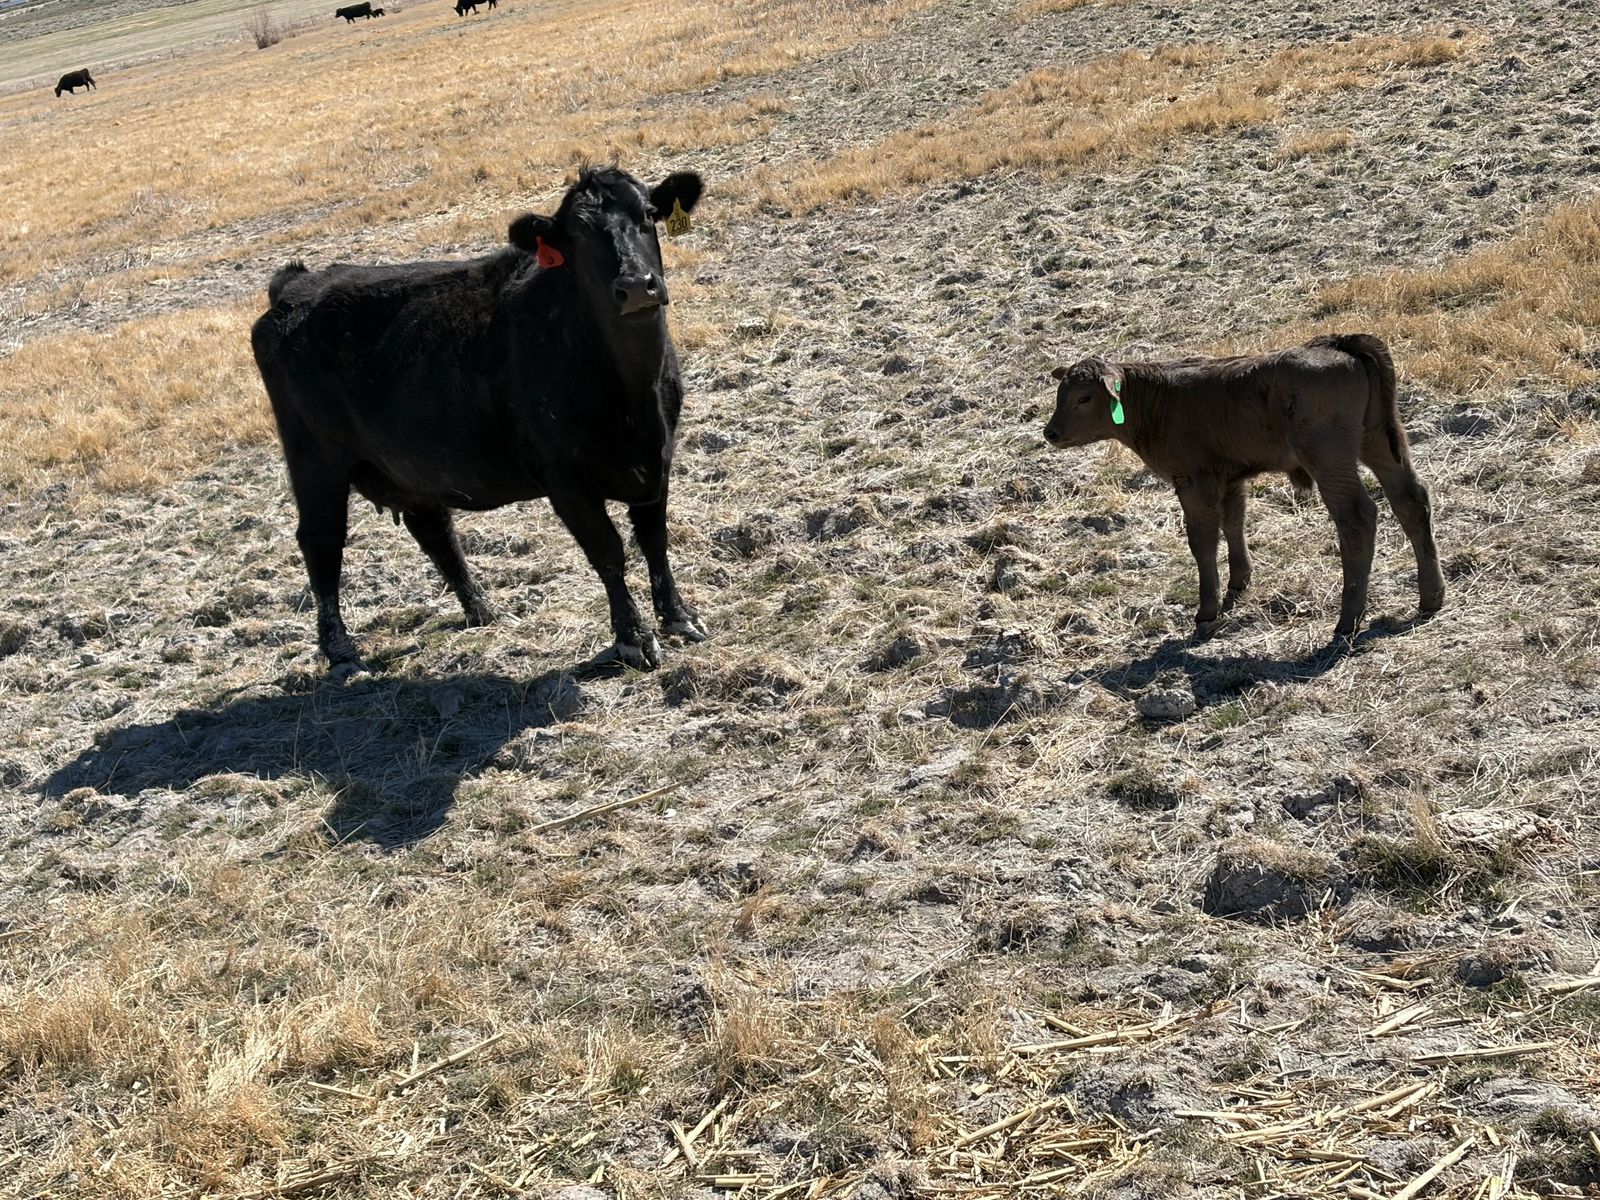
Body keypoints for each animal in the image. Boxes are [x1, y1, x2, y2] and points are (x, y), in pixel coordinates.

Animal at [250, 167, 707, 677]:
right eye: (577, 237)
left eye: (648, 214)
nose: (635, 286)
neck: (633, 396)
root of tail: (298, 284)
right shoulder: (566, 481)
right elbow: (608, 553)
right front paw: (633, 641)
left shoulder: (658, 458)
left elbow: (654, 540)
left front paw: (680, 618)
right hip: (315, 460)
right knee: (321, 543)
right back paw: (342, 653)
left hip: (410, 464)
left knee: (433, 529)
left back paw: (482, 609)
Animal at [1043, 334, 1444, 644]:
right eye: (1060, 395)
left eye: (1083, 398)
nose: (1051, 432)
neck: (1158, 399)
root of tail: (1338, 344)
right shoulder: (1230, 478)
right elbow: (1233, 522)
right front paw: (1239, 581)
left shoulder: (1193, 481)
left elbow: (1202, 541)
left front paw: (1207, 610)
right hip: (1379, 443)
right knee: (1411, 500)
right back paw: (1431, 596)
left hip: (1330, 458)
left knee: (1357, 518)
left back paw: (1348, 620)